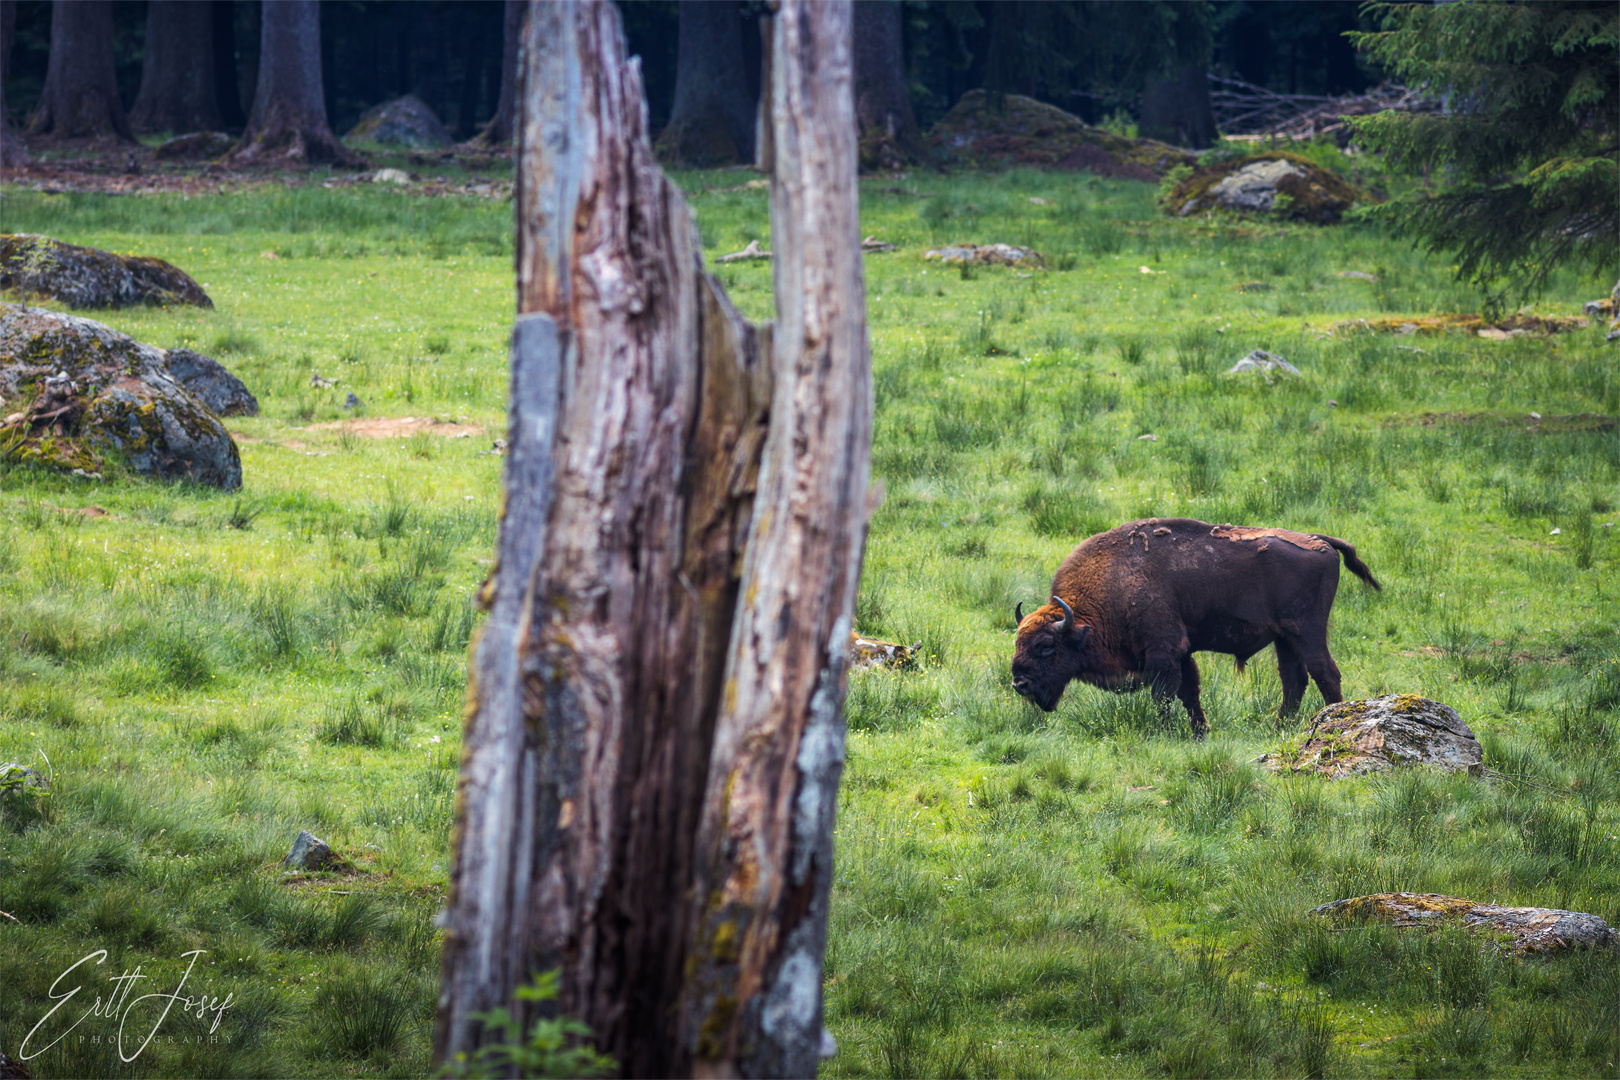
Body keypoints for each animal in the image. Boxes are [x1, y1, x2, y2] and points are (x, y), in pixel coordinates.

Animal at [1010, 518, 1380, 738]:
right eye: (1018, 643)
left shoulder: (1163, 651)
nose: (1019, 684)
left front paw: (1165, 732)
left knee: (1325, 673)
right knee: (1294, 680)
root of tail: (1320, 539)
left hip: (1308, 632)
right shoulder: (1182, 652)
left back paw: (1334, 722)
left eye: (1046, 646)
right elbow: (1190, 692)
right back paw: (1279, 729)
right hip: (1285, 638)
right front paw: (1201, 732)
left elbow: (1164, 694)